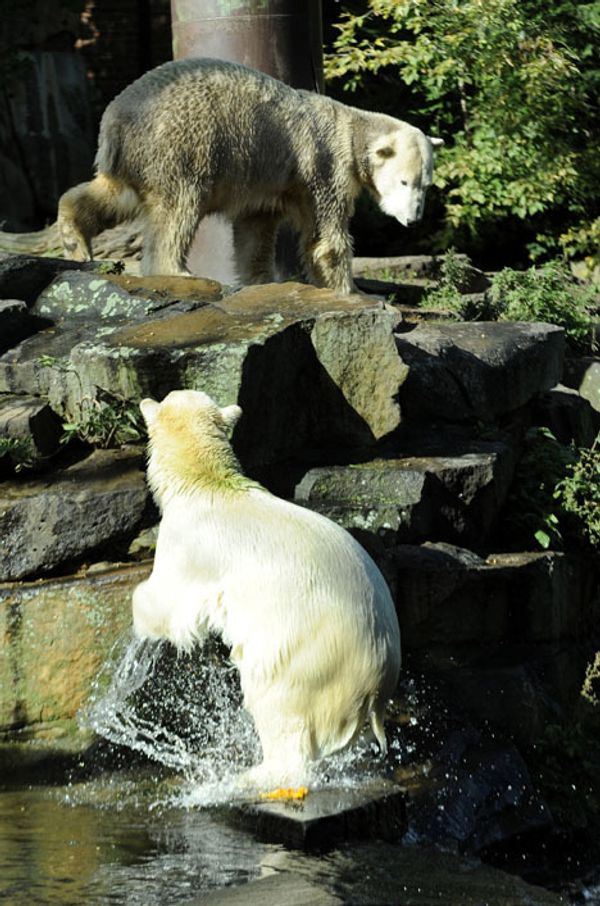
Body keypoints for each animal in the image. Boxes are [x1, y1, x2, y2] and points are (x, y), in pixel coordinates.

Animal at [58, 57, 443, 294]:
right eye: (404, 182)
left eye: (425, 185)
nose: (413, 218)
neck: (351, 130)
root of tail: (115, 120)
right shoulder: (324, 167)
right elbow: (325, 237)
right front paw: (352, 291)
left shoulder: (269, 184)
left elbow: (255, 231)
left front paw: (261, 280)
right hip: (182, 142)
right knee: (177, 208)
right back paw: (177, 271)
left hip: (136, 158)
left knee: (115, 194)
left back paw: (75, 238)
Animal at [132, 389, 401, 786]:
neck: (206, 484)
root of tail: (378, 678)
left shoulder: (187, 546)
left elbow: (167, 602)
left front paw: (138, 616)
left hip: (307, 657)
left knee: (276, 703)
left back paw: (254, 774)